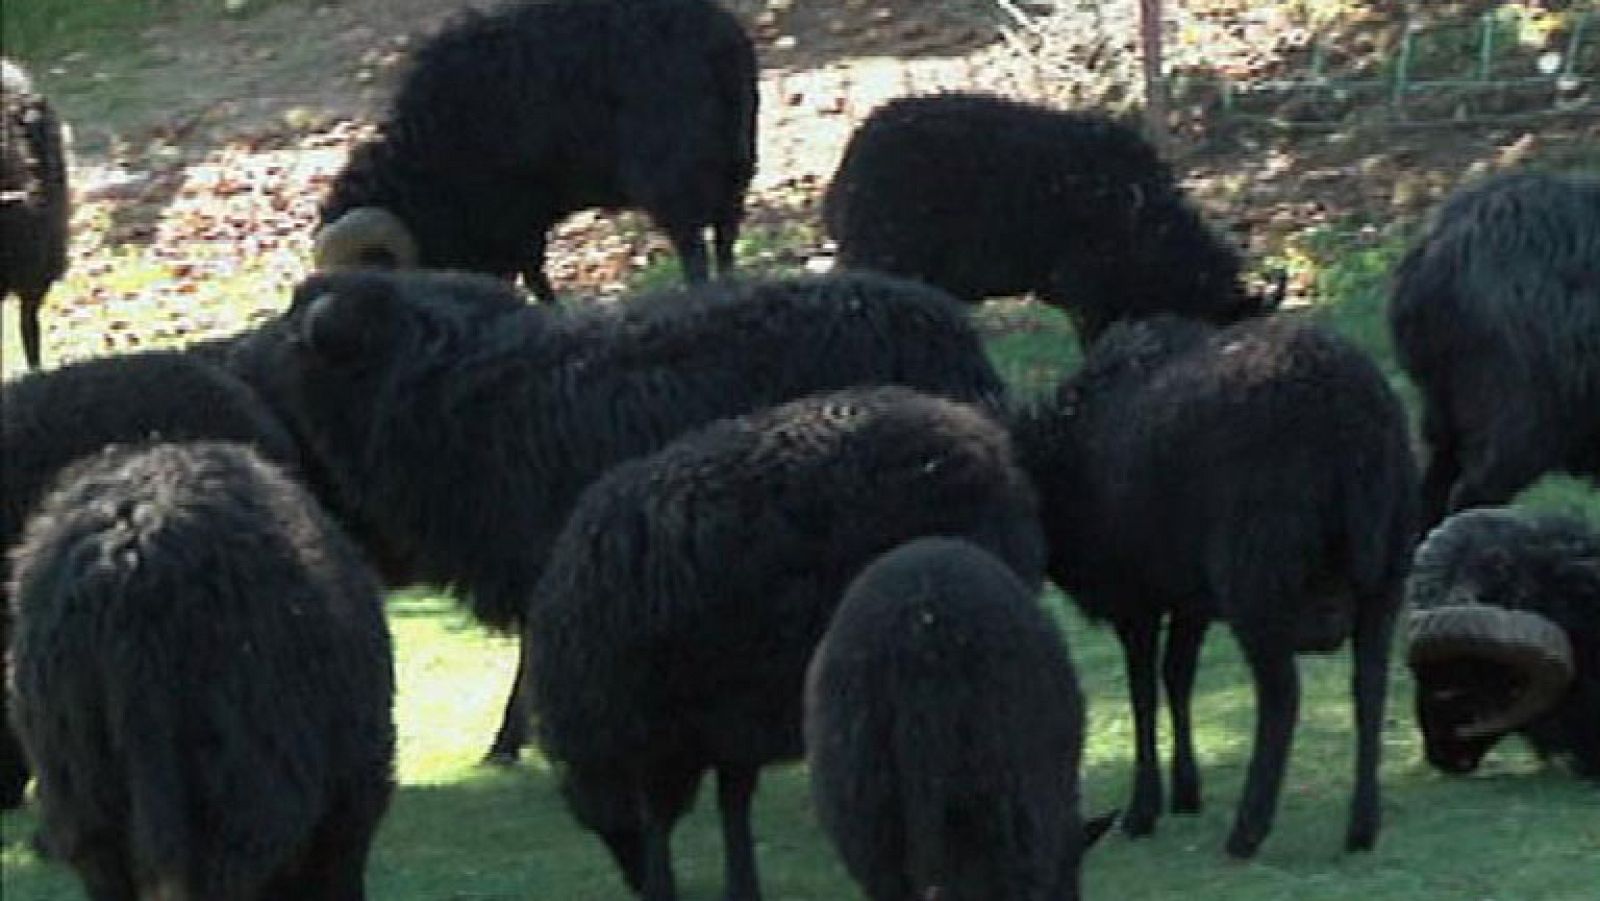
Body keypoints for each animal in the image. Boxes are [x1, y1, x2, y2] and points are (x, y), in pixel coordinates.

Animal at [315, 0, 757, 303]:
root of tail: (717, 40)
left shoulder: (512, 220)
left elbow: (533, 277)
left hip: (673, 179)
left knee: (695, 252)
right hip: (737, 166)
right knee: (725, 241)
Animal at [528, 387, 1044, 901]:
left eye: (600, 824)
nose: (634, 883)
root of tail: (981, 442)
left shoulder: (668, 723)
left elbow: (676, 807)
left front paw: (673, 887)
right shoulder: (726, 718)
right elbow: (729, 796)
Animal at [1011, 314, 1417, 858]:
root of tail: (1353, 417)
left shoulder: (1134, 598)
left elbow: (1143, 691)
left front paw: (1143, 809)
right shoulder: (1192, 598)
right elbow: (1177, 677)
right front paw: (1186, 791)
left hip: (1258, 576)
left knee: (1282, 697)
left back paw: (1248, 830)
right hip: (1387, 571)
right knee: (1369, 686)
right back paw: (1362, 826)